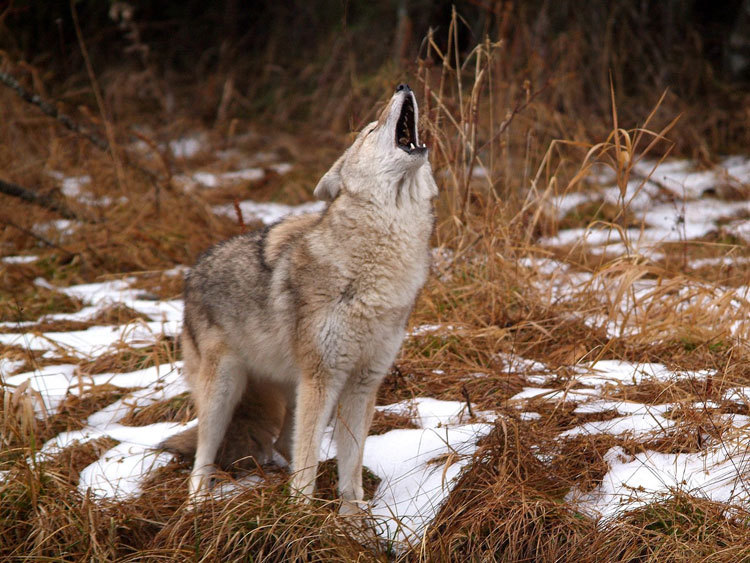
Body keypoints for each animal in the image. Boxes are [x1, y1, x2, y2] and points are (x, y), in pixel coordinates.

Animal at [169, 83, 440, 512]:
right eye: (370, 129)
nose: (403, 86)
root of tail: (193, 271)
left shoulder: (363, 384)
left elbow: (350, 472)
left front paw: (352, 520)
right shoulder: (322, 378)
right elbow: (307, 469)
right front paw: (300, 517)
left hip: (290, 390)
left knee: (283, 442)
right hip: (224, 393)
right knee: (203, 459)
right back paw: (196, 507)